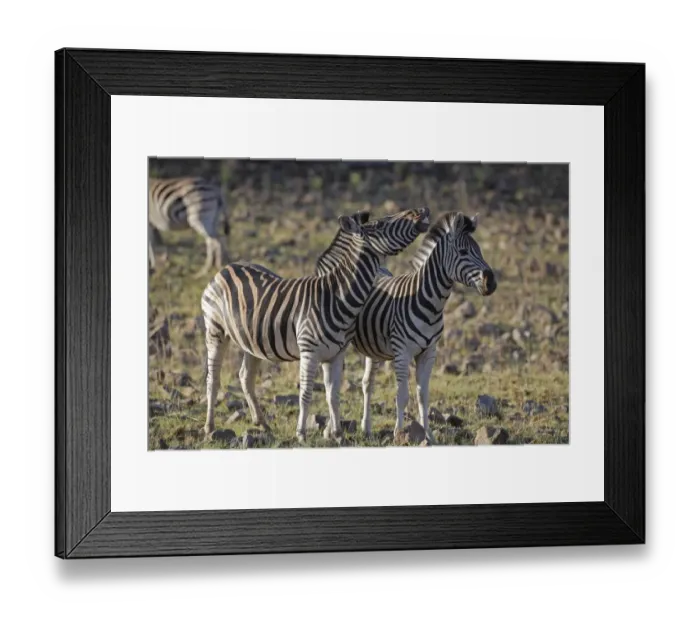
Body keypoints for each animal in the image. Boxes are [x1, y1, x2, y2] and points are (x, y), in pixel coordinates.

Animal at [200, 207, 431, 441]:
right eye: (380, 224)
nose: (420, 211)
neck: (336, 296)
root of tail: (227, 267)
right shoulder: (309, 352)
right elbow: (306, 394)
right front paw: (301, 434)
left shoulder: (336, 354)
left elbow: (333, 394)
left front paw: (337, 434)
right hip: (215, 331)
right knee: (213, 380)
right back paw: (209, 428)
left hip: (251, 341)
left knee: (245, 377)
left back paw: (262, 424)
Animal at [315, 211, 496, 444]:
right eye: (464, 252)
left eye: (480, 251)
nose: (491, 282)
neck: (430, 302)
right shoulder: (402, 352)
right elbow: (402, 395)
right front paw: (399, 433)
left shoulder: (429, 352)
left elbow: (422, 395)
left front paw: (428, 435)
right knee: (333, 385)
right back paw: (331, 430)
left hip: (371, 346)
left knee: (367, 383)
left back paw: (366, 428)